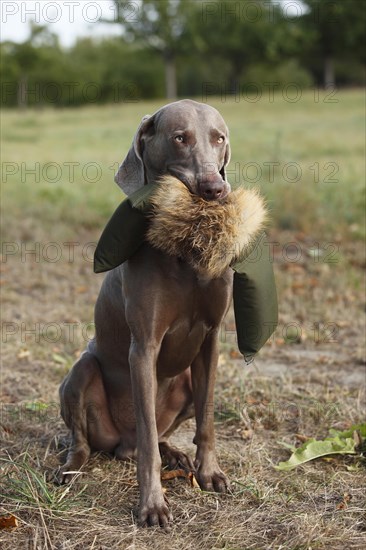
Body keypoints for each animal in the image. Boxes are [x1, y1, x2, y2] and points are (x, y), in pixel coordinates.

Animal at [59, 100, 232, 532]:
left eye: (219, 138)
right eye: (179, 138)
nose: (214, 189)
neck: (184, 249)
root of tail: (122, 444)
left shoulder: (212, 340)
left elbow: (206, 420)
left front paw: (209, 473)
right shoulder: (144, 347)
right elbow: (148, 439)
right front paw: (152, 505)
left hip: (184, 381)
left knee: (161, 434)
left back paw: (176, 453)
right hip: (82, 373)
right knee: (91, 442)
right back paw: (71, 468)